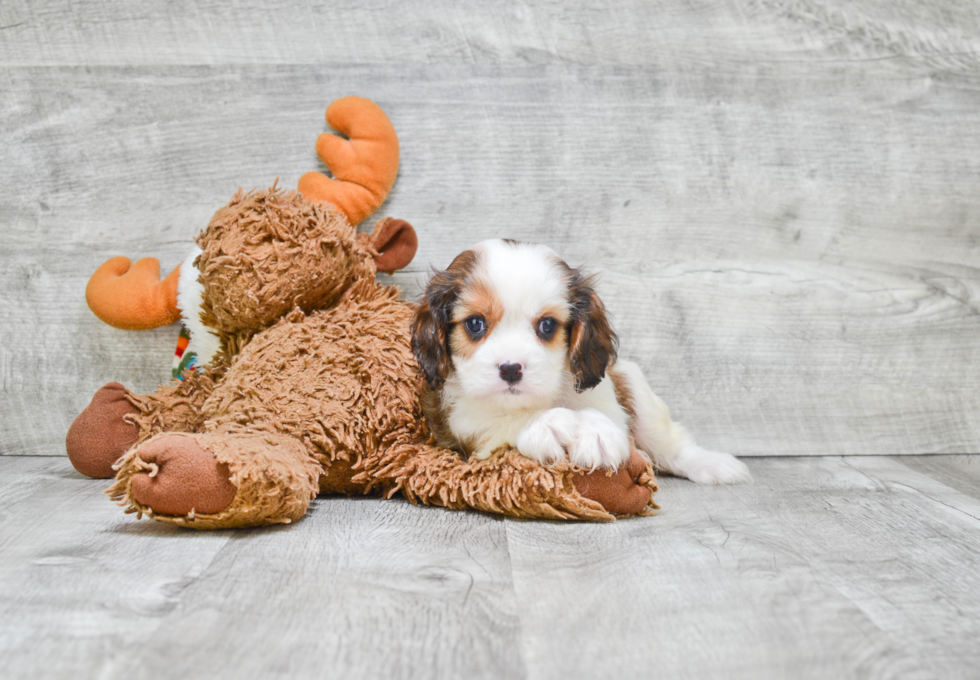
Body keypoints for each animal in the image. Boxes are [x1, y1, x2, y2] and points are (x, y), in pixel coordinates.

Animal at [410, 239, 756, 484]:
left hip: (632, 381)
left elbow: (603, 418)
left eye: (547, 326)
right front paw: (545, 422)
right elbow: (499, 420)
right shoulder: (460, 424)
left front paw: (596, 432)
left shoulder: (607, 400)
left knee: (669, 443)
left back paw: (712, 464)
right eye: (474, 324)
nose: (510, 369)